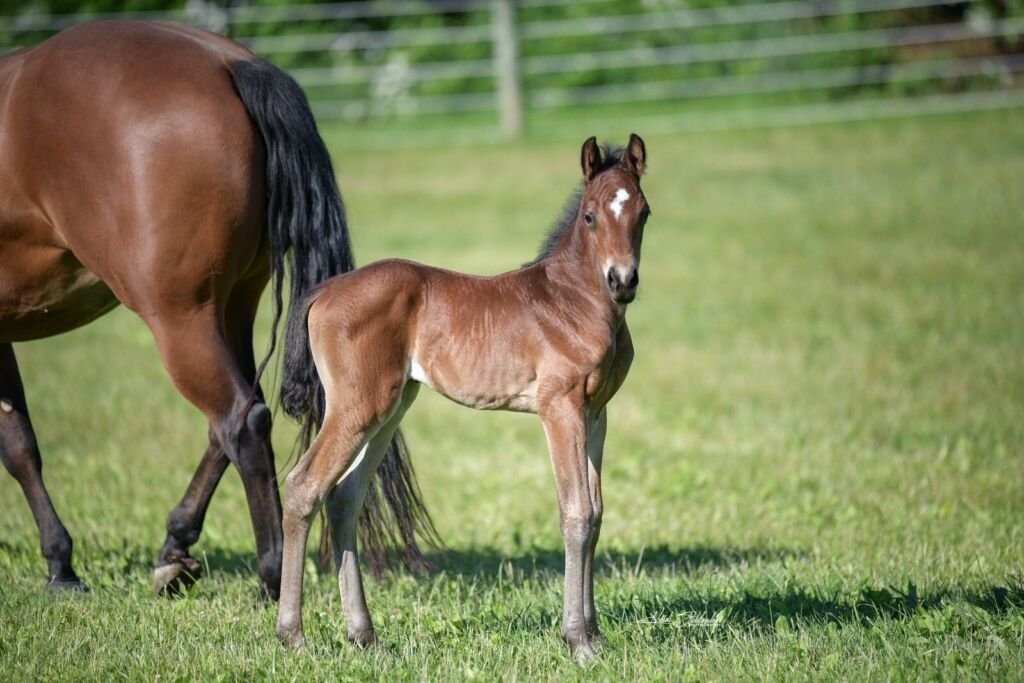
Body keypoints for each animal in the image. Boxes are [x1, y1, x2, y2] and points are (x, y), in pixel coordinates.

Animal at [0, 21, 436, 599]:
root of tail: (228, 63)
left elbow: (18, 447)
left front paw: (60, 565)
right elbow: (19, 441)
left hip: (179, 317)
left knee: (240, 421)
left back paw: (270, 574)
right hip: (231, 307)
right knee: (236, 416)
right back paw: (177, 549)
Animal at [273, 135, 650, 661]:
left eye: (644, 212)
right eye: (591, 215)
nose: (623, 280)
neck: (573, 300)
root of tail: (323, 291)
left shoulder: (597, 414)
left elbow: (595, 514)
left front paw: (594, 634)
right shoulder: (560, 407)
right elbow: (575, 512)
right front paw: (578, 640)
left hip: (390, 407)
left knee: (345, 497)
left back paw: (365, 635)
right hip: (357, 406)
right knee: (304, 486)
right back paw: (293, 634)